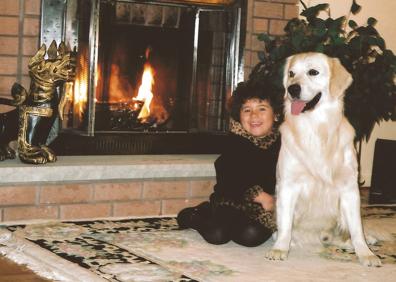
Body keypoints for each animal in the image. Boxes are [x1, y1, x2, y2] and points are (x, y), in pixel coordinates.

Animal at [266, 52, 380, 266]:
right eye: (291, 73)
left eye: (313, 72)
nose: (292, 89)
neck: (316, 128)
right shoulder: (287, 185)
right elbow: (285, 226)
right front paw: (280, 249)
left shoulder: (349, 187)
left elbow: (356, 229)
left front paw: (365, 253)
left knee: (349, 232)